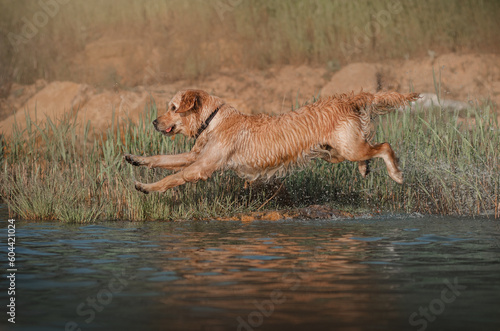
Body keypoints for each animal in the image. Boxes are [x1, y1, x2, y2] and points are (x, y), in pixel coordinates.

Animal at [124, 91, 418, 195]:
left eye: (173, 108)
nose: (154, 122)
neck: (213, 120)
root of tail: (346, 100)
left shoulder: (202, 167)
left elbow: (172, 177)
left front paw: (145, 187)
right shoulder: (196, 156)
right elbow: (162, 160)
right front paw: (136, 159)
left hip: (347, 148)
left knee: (385, 146)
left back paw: (396, 174)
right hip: (337, 151)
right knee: (369, 149)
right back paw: (364, 168)